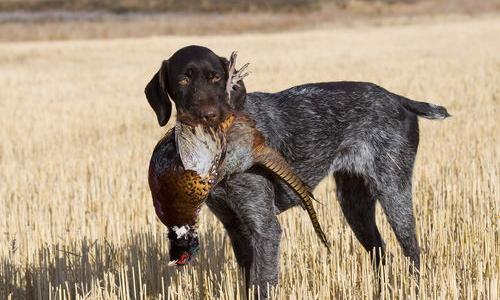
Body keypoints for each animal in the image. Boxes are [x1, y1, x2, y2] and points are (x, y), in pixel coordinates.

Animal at [144, 44, 450, 298]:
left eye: (215, 77)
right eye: (183, 79)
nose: (209, 116)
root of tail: (396, 98)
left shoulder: (265, 228)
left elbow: (263, 284)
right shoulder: (237, 229)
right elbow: (248, 282)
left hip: (394, 193)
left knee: (413, 253)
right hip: (354, 204)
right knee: (381, 253)